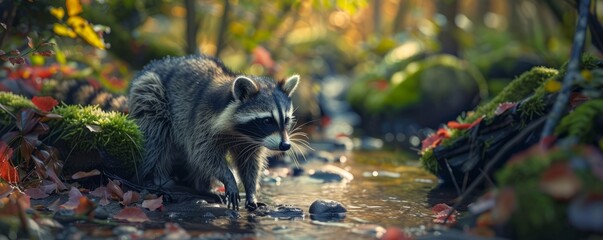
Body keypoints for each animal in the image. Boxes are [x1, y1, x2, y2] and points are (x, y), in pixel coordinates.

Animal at [130, 54, 304, 210]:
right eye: (267, 120)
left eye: (286, 120)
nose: (285, 145)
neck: (240, 133)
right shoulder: (201, 122)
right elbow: (203, 154)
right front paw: (229, 178)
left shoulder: (251, 141)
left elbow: (249, 163)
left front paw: (251, 191)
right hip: (152, 95)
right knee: (156, 135)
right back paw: (157, 179)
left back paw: (202, 187)